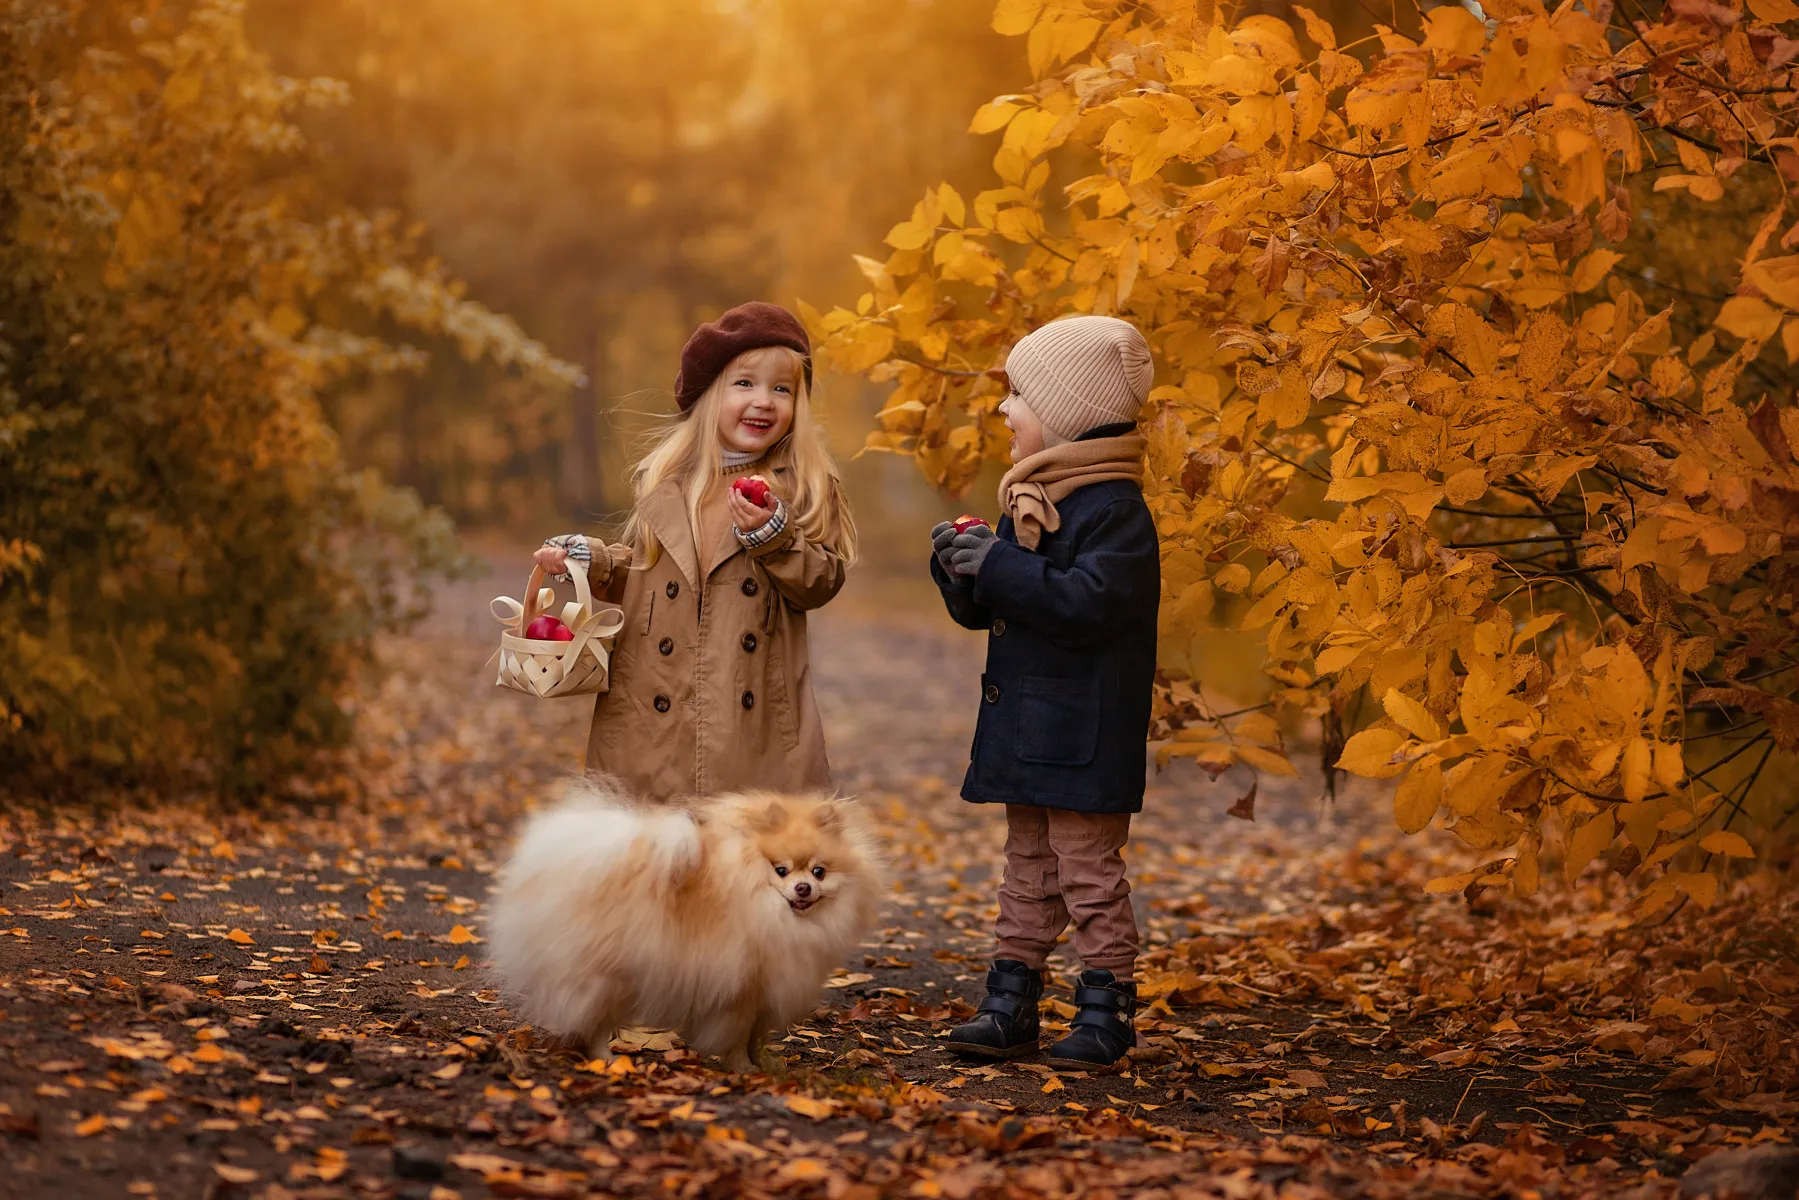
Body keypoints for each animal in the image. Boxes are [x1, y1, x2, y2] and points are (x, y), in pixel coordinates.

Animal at [492, 780, 885, 1072]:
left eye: (819, 872)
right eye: (781, 870)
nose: (803, 888)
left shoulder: (765, 992)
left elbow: (756, 1036)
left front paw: (764, 1064)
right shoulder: (741, 992)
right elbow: (738, 1037)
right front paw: (742, 1069)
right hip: (608, 977)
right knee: (595, 1022)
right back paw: (606, 1059)